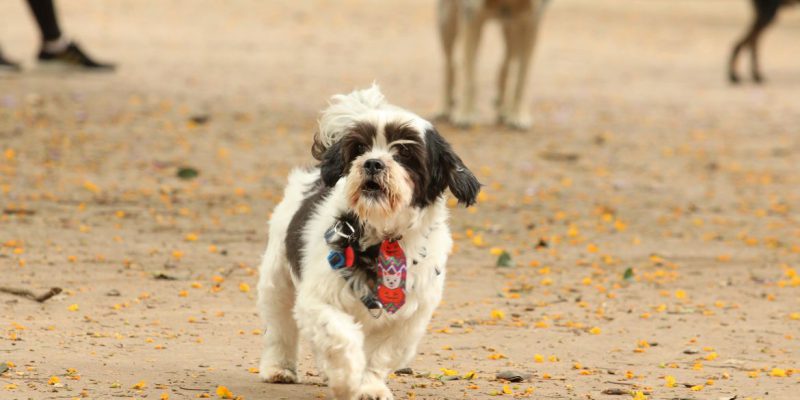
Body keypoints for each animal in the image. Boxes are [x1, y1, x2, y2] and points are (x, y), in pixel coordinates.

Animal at [260, 85, 478, 400]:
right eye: (360, 148)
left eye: (404, 153)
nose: (373, 162)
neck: (383, 236)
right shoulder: (319, 299)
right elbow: (341, 336)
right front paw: (345, 379)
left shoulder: (408, 318)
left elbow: (380, 355)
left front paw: (368, 386)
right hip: (277, 279)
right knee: (280, 326)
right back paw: (279, 367)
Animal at [438, 0, 552, 130]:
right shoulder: (472, 16)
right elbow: (469, 78)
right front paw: (465, 114)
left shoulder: (531, 20)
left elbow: (521, 80)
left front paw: (518, 115)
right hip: (446, 19)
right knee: (449, 63)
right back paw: (444, 107)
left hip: (513, 27)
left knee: (507, 63)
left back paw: (504, 107)